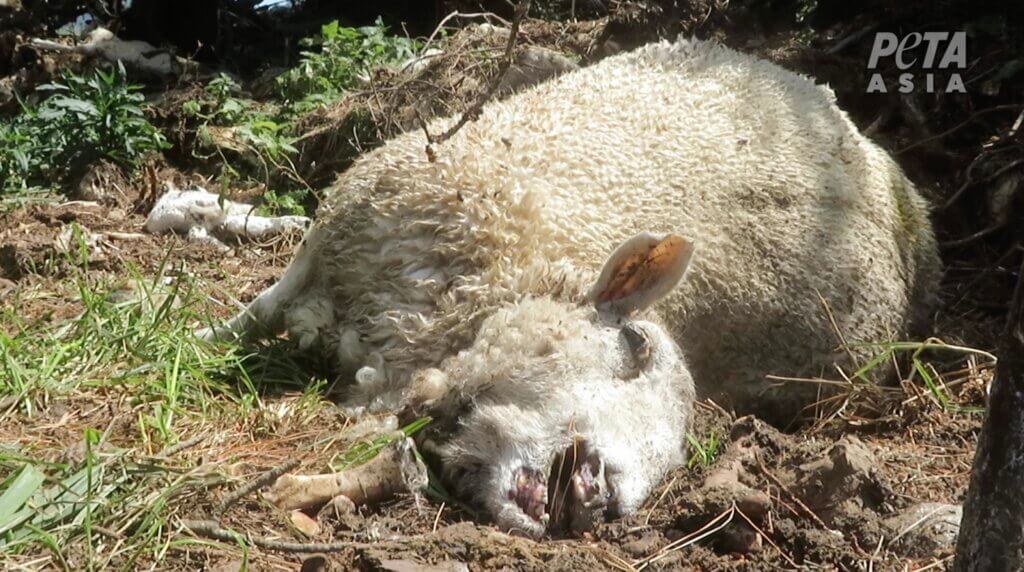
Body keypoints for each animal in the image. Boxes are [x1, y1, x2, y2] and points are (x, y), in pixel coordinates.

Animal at [201, 38, 942, 540]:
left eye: (683, 453)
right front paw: (201, 335)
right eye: (636, 345)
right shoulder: (340, 224)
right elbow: (259, 307)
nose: (595, 497)